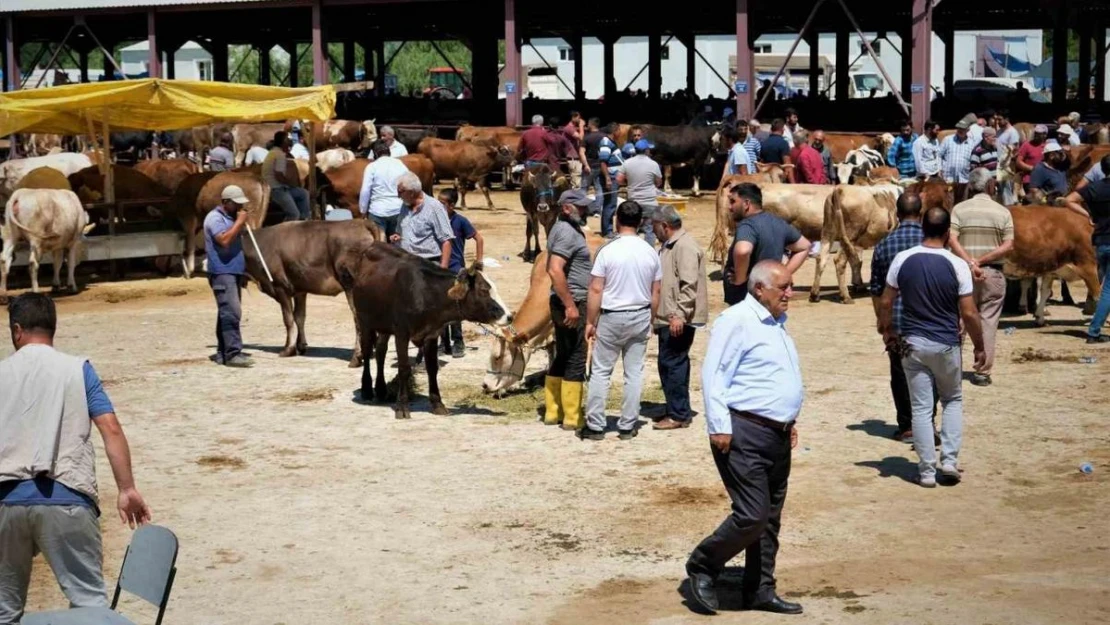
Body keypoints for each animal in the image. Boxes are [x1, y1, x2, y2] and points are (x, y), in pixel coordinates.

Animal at [335, 244, 512, 419]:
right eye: (483, 290)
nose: (509, 316)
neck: (426, 293)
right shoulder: (401, 334)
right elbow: (404, 368)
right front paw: (402, 407)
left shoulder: (431, 335)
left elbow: (432, 368)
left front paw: (437, 404)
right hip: (364, 321)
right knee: (366, 352)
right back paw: (366, 389)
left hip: (384, 327)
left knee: (380, 353)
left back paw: (381, 389)